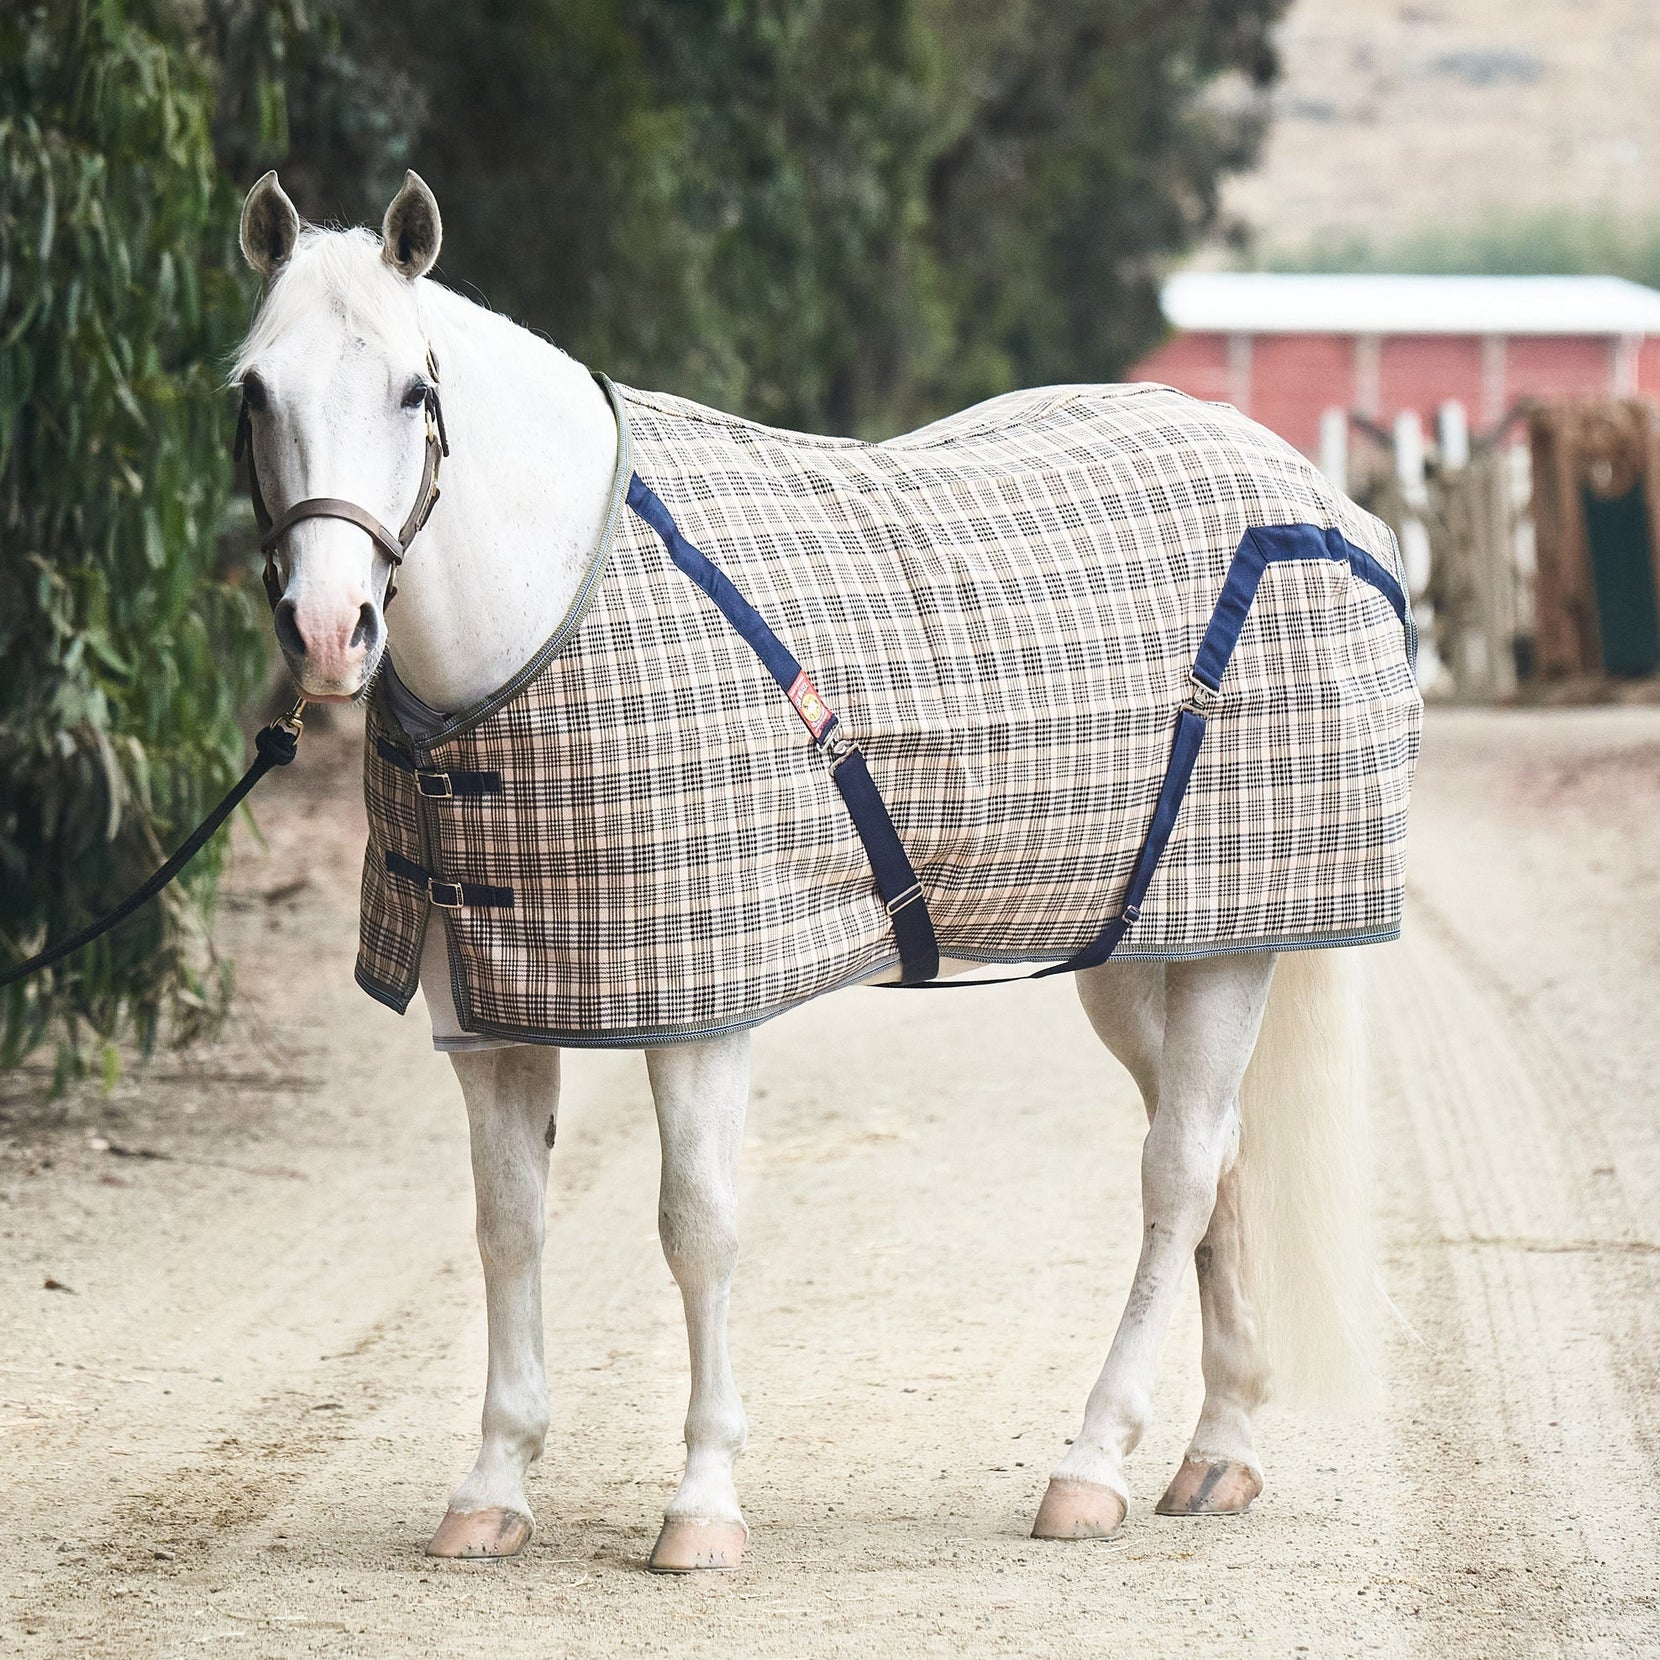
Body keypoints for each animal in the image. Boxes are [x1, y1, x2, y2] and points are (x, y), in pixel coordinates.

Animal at [232, 169, 1415, 1570]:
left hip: (1236, 948)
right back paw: (1216, 1450)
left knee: (1175, 1172)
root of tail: (1318, 497)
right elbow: (508, 1224)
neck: (553, 609)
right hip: (1140, 954)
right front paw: (492, 1486)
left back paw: (1091, 1464)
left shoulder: (696, 1009)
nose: (327, 630)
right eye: (254, 389)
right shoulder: (489, 1010)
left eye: (416, 389)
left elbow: (697, 1227)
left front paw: (701, 1503)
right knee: (1215, 1150)